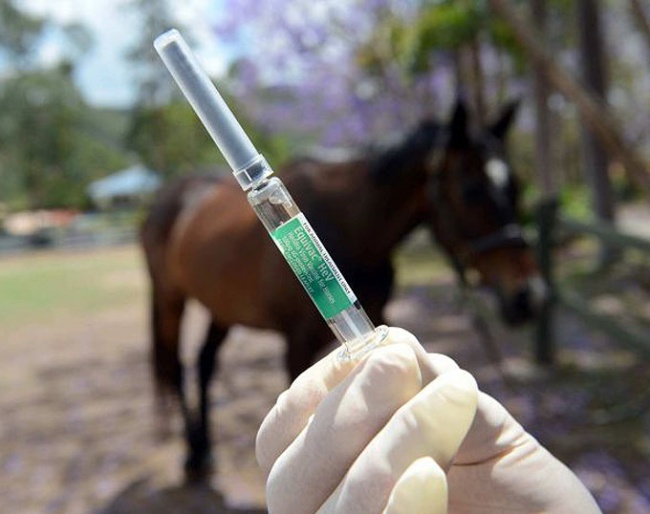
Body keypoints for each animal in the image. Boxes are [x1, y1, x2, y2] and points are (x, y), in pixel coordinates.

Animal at [139, 100, 540, 476]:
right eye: (471, 190)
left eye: (516, 186)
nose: (529, 295)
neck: (352, 227)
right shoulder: (297, 343)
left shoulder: (376, 313)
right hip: (169, 298)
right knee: (176, 366)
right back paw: (194, 453)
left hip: (221, 306)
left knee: (204, 363)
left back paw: (205, 448)